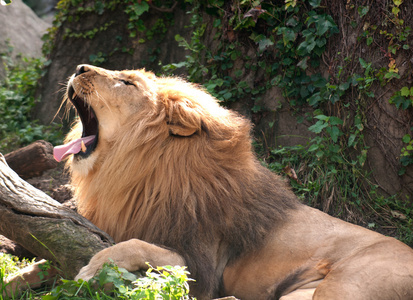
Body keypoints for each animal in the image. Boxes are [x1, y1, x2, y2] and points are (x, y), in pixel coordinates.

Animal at [51, 64, 413, 298]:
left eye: (128, 83)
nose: (80, 67)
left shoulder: (202, 270)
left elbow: (136, 245)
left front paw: (92, 269)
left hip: (344, 286)